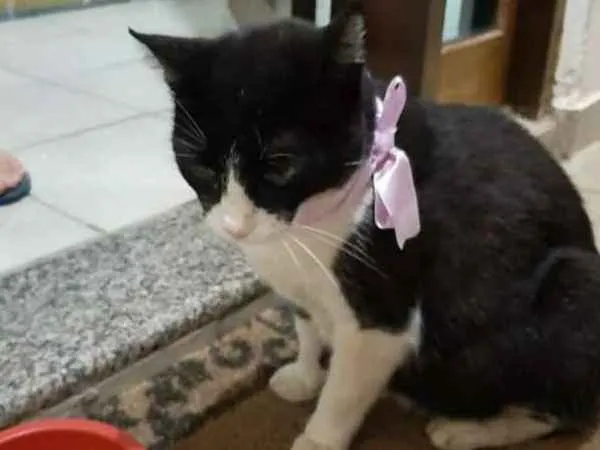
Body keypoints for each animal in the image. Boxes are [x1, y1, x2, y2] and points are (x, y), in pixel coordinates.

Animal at [131, 3, 600, 450]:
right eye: (200, 167)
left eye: (282, 166)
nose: (234, 225)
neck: (307, 228)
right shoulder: (298, 288)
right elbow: (306, 326)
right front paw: (304, 375)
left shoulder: (381, 317)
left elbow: (345, 389)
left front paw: (319, 439)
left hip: (570, 286)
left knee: (564, 409)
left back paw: (467, 430)